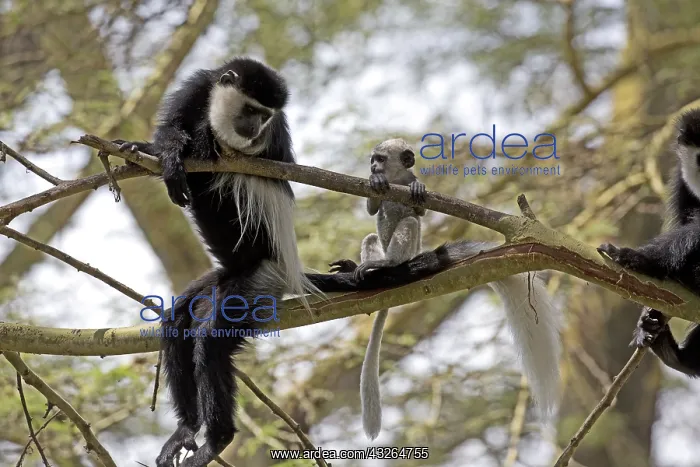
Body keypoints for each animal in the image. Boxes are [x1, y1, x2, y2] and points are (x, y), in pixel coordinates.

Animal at [328, 138, 427, 440]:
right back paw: (370, 270)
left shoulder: (409, 179)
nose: (373, 167)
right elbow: (373, 209)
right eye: (373, 160)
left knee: (410, 223)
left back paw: (388, 263)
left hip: (411, 250)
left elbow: (420, 210)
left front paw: (418, 189)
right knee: (372, 237)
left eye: (380, 159)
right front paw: (374, 181)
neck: (395, 179)